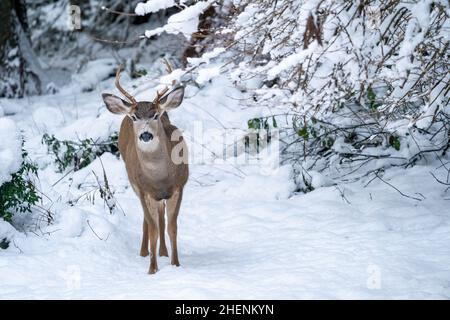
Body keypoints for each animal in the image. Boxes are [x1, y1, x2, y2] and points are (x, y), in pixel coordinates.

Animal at [102, 63, 188, 276]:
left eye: (155, 115)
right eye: (135, 117)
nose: (146, 135)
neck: (159, 178)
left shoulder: (179, 187)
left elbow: (172, 227)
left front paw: (175, 264)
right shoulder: (143, 190)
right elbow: (153, 229)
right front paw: (152, 269)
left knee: (161, 216)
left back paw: (163, 252)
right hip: (135, 185)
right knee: (149, 222)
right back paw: (144, 252)